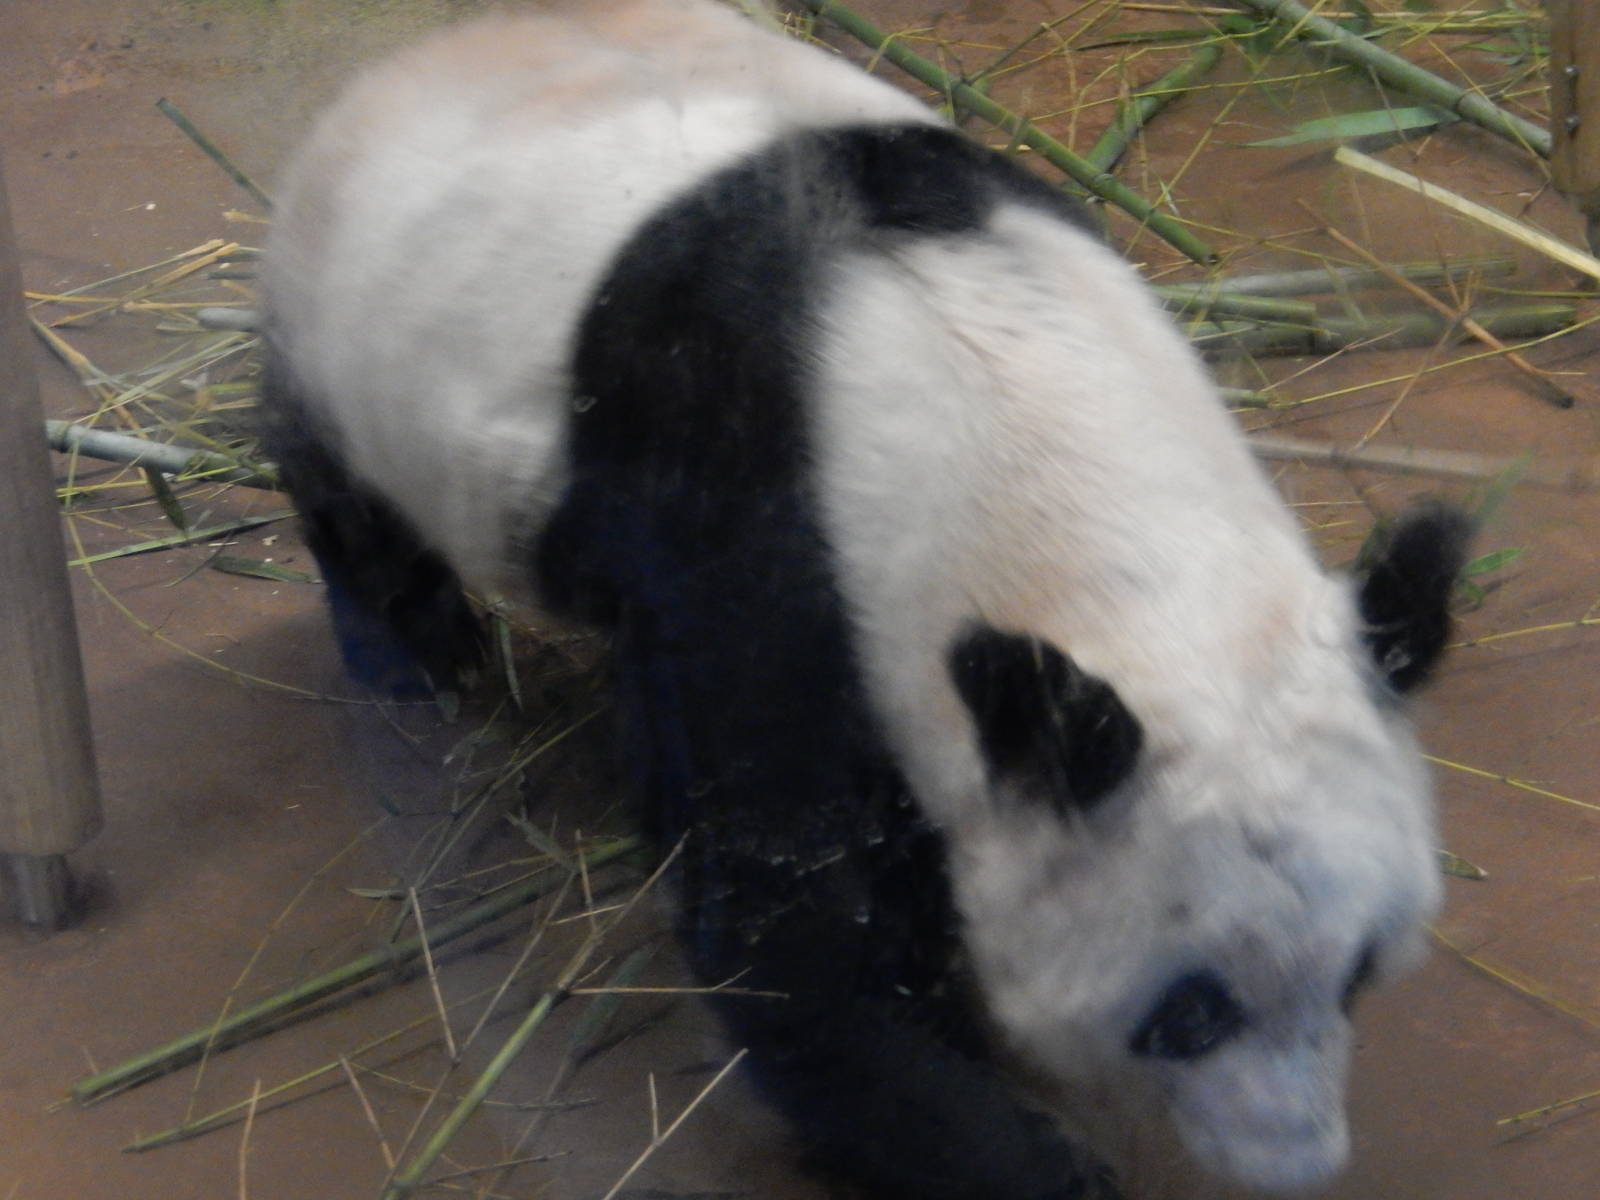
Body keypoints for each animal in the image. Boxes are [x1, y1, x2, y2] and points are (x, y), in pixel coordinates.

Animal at [257, 2, 1471, 1197]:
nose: (1296, 1162)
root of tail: (402, 64)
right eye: (1189, 1013)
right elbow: (779, 902)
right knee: (353, 512)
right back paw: (425, 659)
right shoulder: (755, 522)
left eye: (1359, 971)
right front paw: (1019, 1155)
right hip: (336, 335)